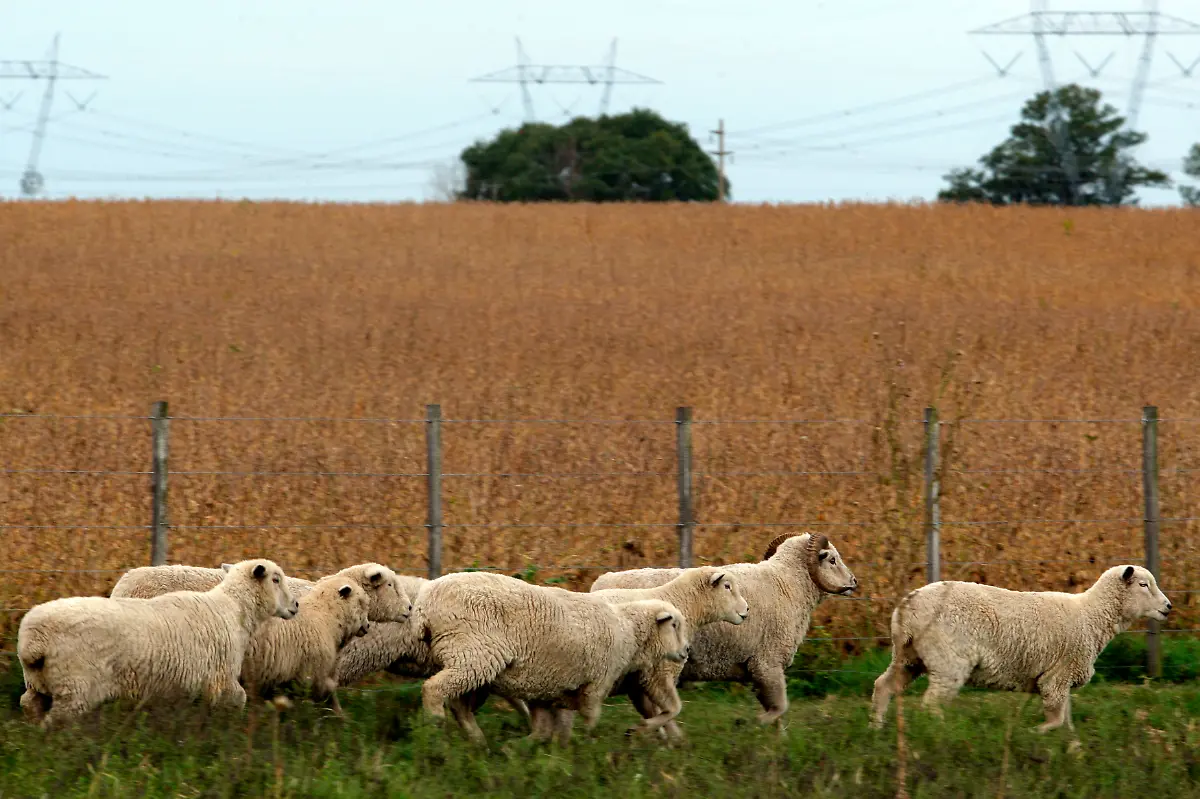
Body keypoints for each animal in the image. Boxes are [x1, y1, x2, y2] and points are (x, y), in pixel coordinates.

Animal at [18, 558, 298, 729]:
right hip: (75, 688)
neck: (233, 609)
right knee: (55, 724)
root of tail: (33, 641)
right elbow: (240, 699)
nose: (296, 605)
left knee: (29, 705)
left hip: (39, 684)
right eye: (276, 579)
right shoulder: (222, 677)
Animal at [414, 571, 691, 746]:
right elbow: (590, 718)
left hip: (472, 662)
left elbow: (547, 726)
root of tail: (422, 606)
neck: (628, 630)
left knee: (459, 705)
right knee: (434, 689)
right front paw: (586, 746)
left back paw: (477, 741)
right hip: (474, 656)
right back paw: (435, 729)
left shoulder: (547, 687)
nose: (687, 651)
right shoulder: (596, 682)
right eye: (674, 625)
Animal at [531, 565, 751, 743]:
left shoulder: (637, 678)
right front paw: (648, 732)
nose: (747, 610)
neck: (681, 603)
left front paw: (663, 737)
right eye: (727, 587)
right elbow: (673, 708)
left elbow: (654, 709)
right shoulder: (658, 671)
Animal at [589, 532, 857, 727]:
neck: (787, 583)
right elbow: (780, 708)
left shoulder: (758, 669)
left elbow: (776, 712)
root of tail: (599, 583)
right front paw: (752, 724)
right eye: (832, 559)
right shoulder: (767, 662)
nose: (854, 582)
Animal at [869, 565, 1172, 733]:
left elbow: (1066, 721)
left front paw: (1071, 750)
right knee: (931, 704)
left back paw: (877, 727)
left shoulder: (1062, 680)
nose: (1168, 607)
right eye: (1144, 585)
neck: (1091, 615)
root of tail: (906, 608)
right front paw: (1036, 732)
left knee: (884, 686)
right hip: (948, 661)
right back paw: (941, 733)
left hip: (910, 657)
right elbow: (1056, 720)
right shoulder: (1056, 677)